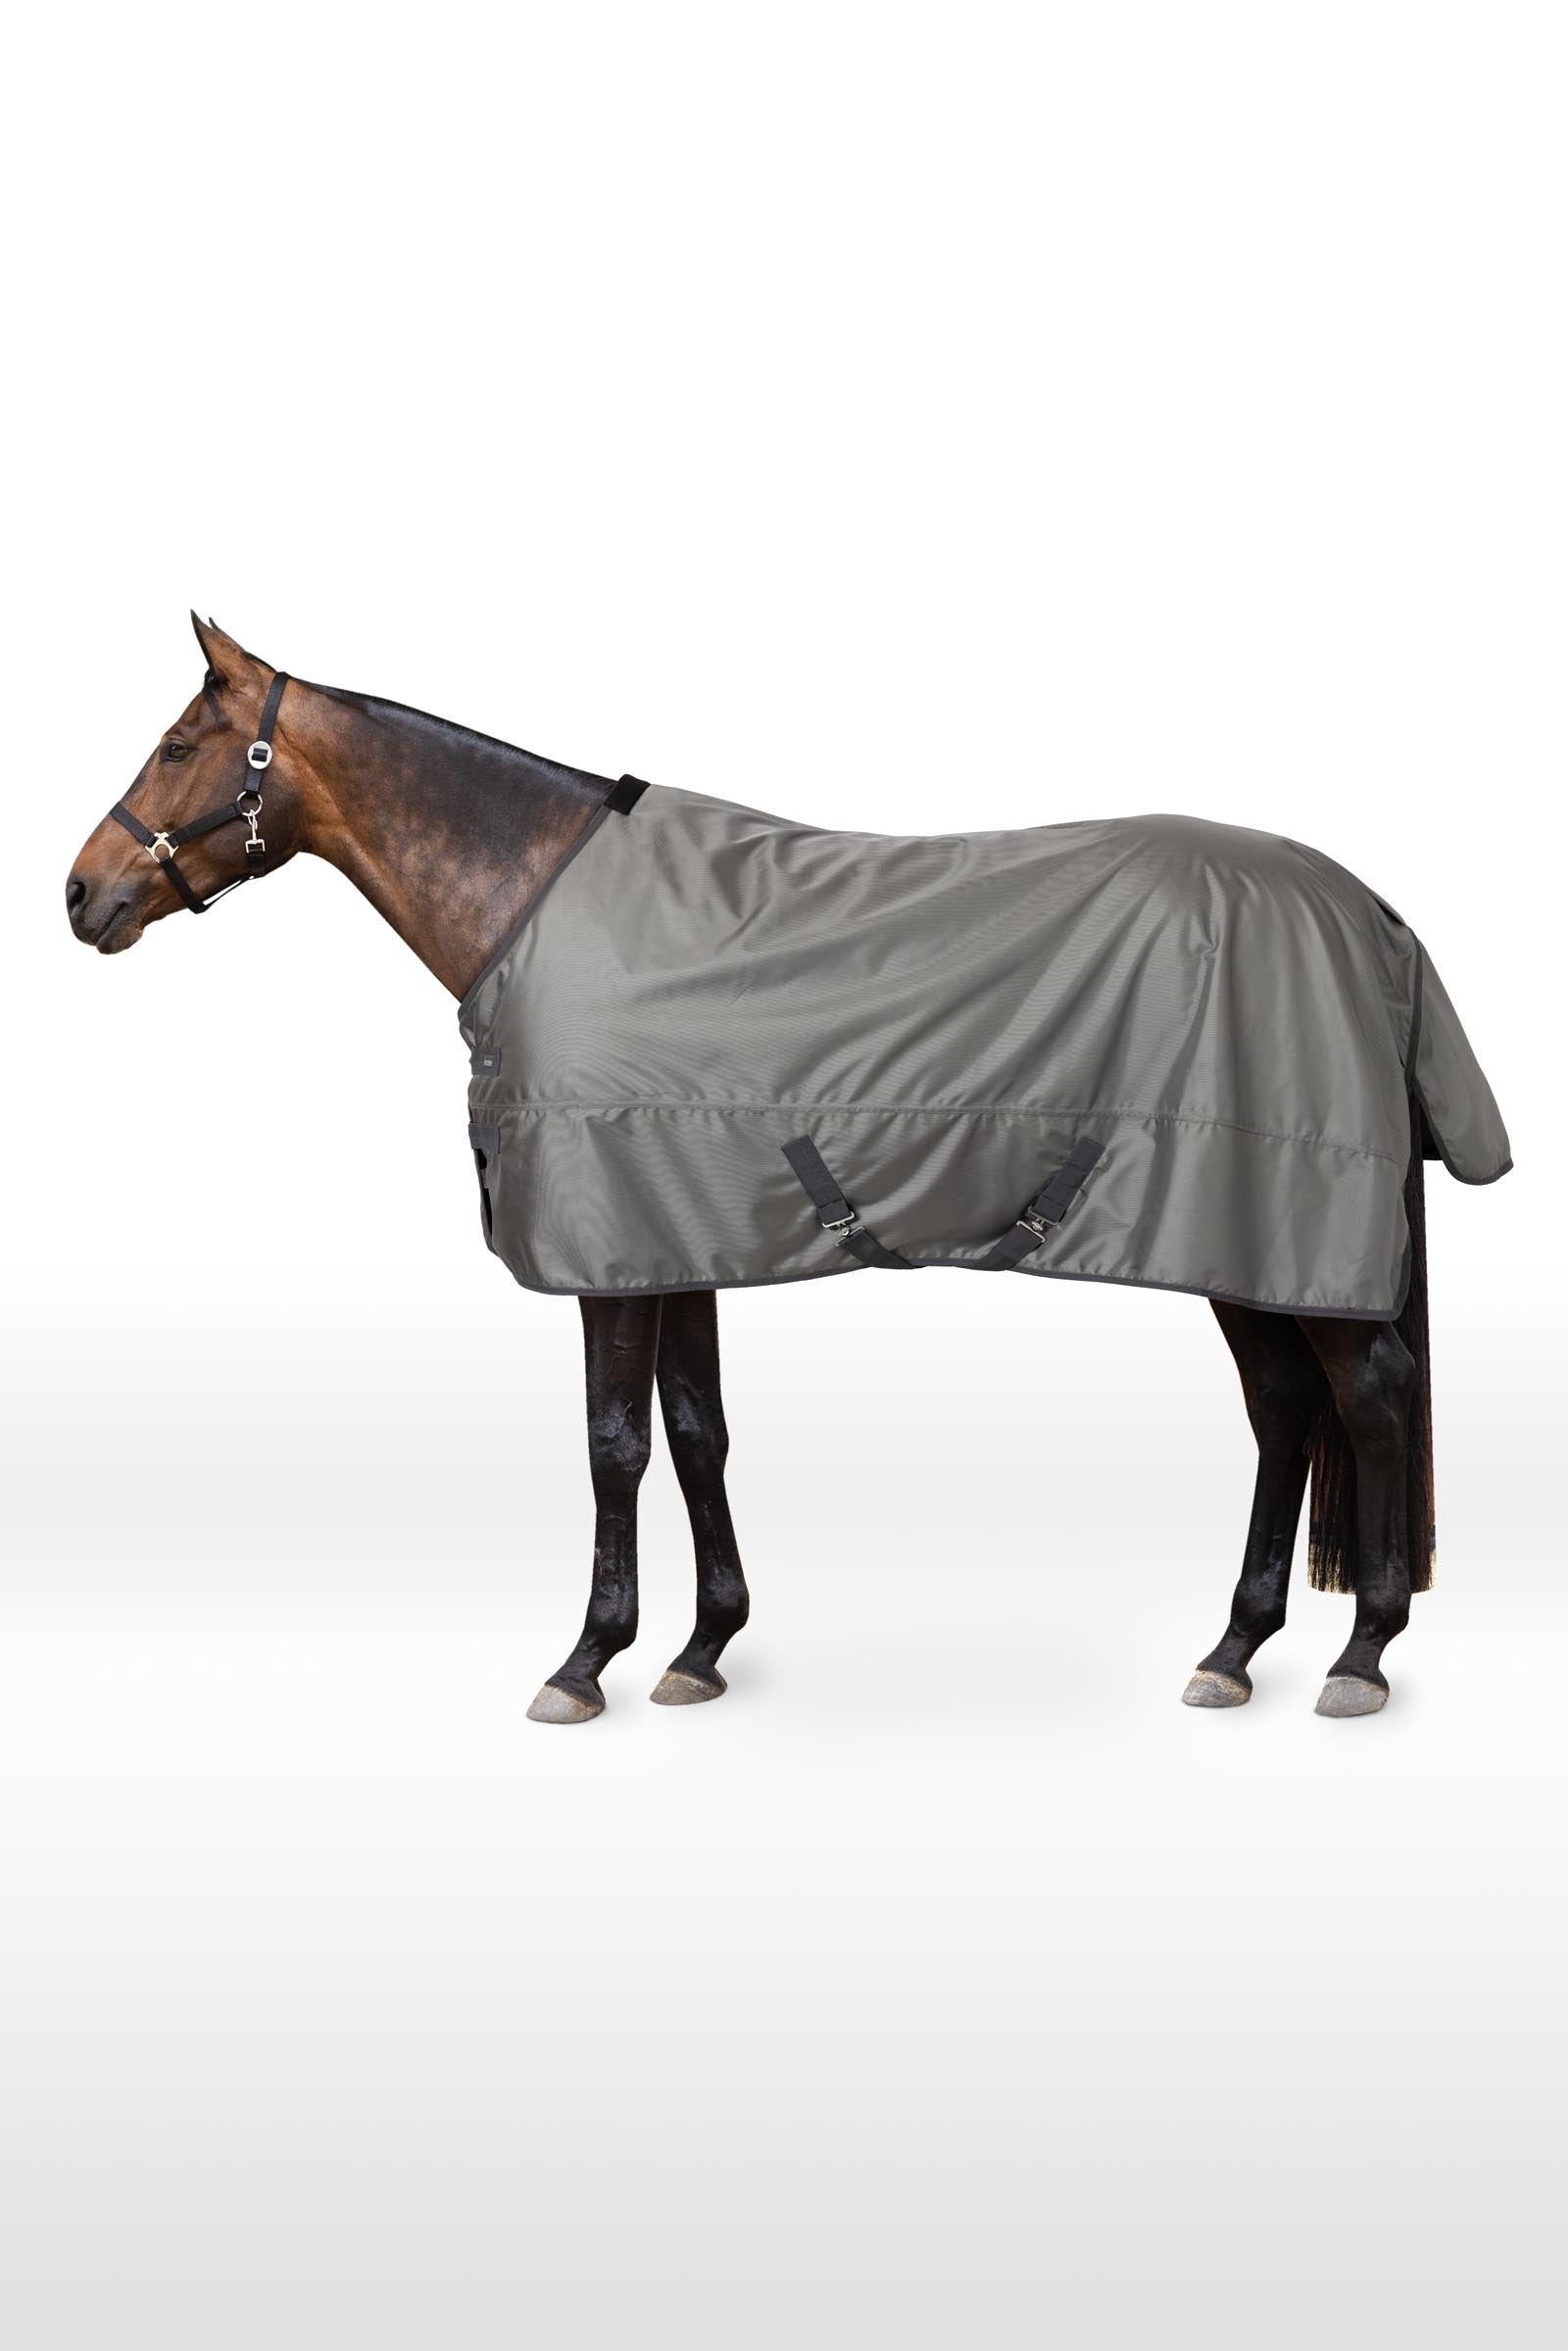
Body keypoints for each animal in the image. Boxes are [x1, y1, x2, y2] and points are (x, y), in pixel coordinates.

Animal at [65, 616, 1510, 1724]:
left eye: (180, 743)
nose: (80, 894)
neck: (535, 897)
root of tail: (1369, 914)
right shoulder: (672, 1226)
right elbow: (695, 1431)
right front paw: (702, 1648)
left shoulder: (608, 1248)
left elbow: (612, 1446)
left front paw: (585, 1661)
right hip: (1237, 1232)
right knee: (1285, 1407)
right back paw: (1235, 1648)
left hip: (1273, 1221)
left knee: (1368, 1396)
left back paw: (1361, 1652)